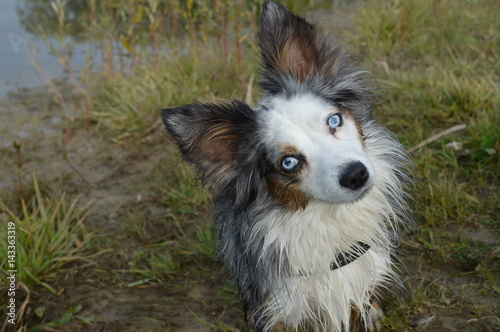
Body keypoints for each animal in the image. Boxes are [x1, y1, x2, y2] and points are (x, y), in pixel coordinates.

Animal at [162, 1, 412, 330]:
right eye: (289, 162)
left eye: (334, 120)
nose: (356, 174)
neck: (327, 222)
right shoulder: (277, 309)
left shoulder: (356, 290)